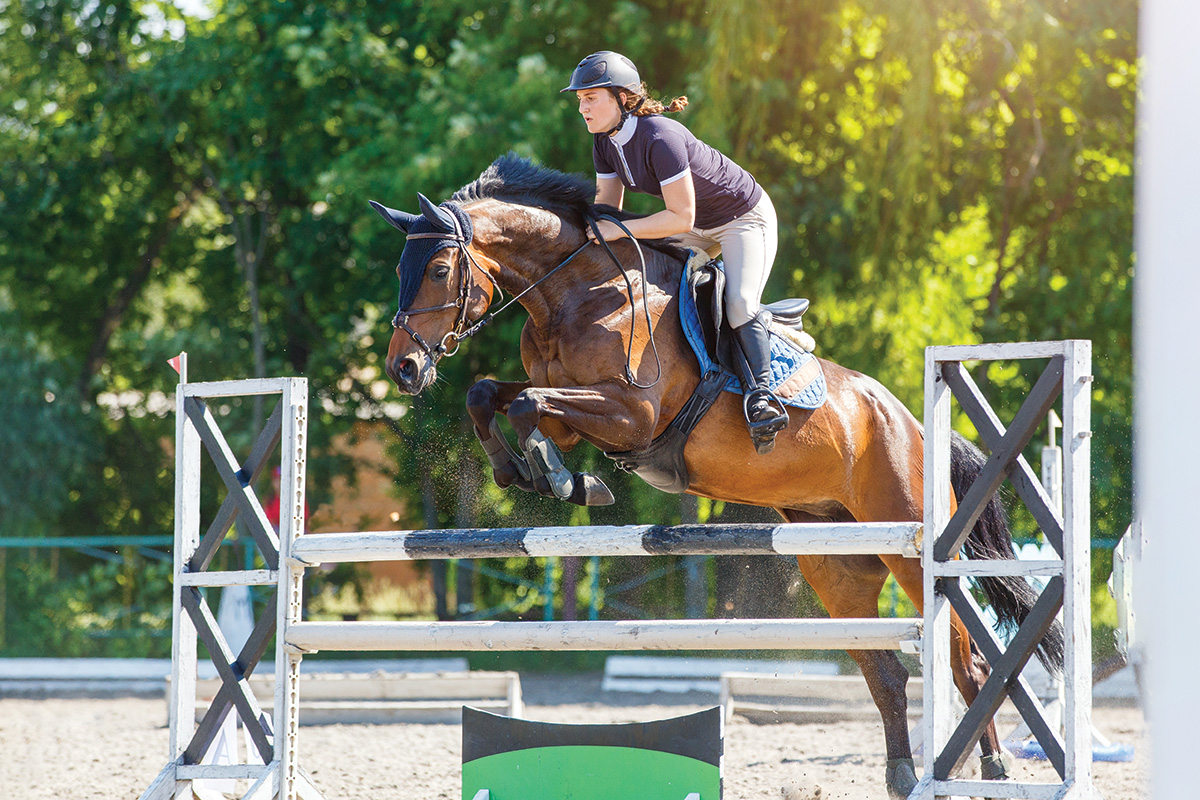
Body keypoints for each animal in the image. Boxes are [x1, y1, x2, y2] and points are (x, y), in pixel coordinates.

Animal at [369, 153, 1065, 796]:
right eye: (401, 271)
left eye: (438, 270)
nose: (404, 368)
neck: (579, 295)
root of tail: (915, 426)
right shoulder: (574, 408)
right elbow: (491, 395)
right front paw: (534, 474)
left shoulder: (632, 414)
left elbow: (524, 404)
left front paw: (561, 480)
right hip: (835, 561)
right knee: (887, 671)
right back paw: (901, 775)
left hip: (912, 550)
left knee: (966, 665)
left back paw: (992, 771)